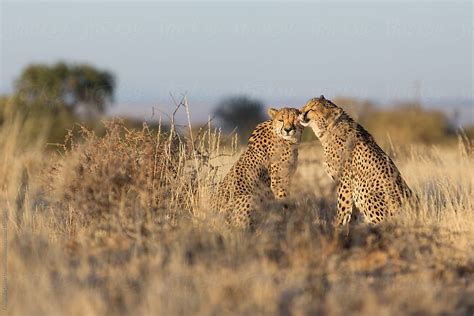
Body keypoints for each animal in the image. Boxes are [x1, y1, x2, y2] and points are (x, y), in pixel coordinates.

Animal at [300, 95, 414, 226]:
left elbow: (343, 207)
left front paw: (337, 225)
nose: (300, 112)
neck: (329, 129)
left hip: (368, 193)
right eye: (306, 104)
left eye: (311, 109)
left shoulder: (345, 182)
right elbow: (351, 212)